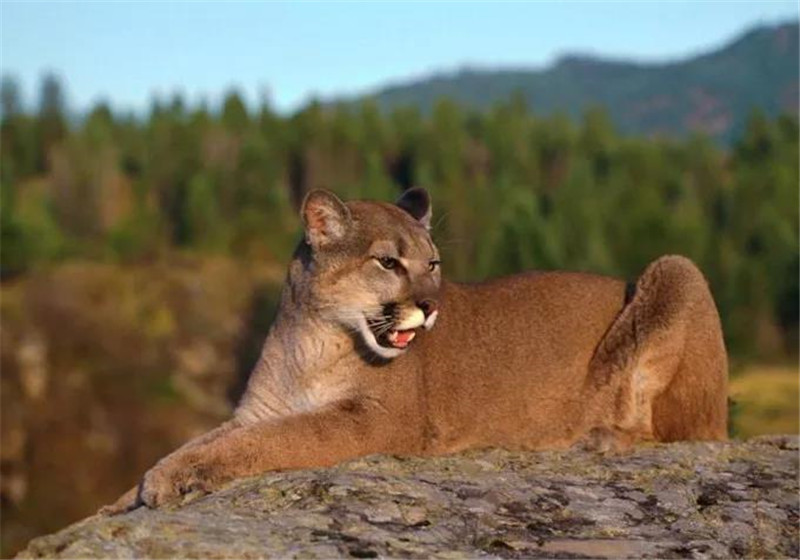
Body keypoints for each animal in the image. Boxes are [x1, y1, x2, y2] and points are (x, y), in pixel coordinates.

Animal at [103, 187, 728, 512]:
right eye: (388, 262)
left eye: (433, 263)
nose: (430, 306)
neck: (313, 337)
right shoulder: (258, 408)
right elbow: (206, 439)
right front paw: (132, 493)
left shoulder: (373, 420)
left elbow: (269, 440)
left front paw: (172, 480)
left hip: (677, 269)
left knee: (679, 430)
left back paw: (598, 437)